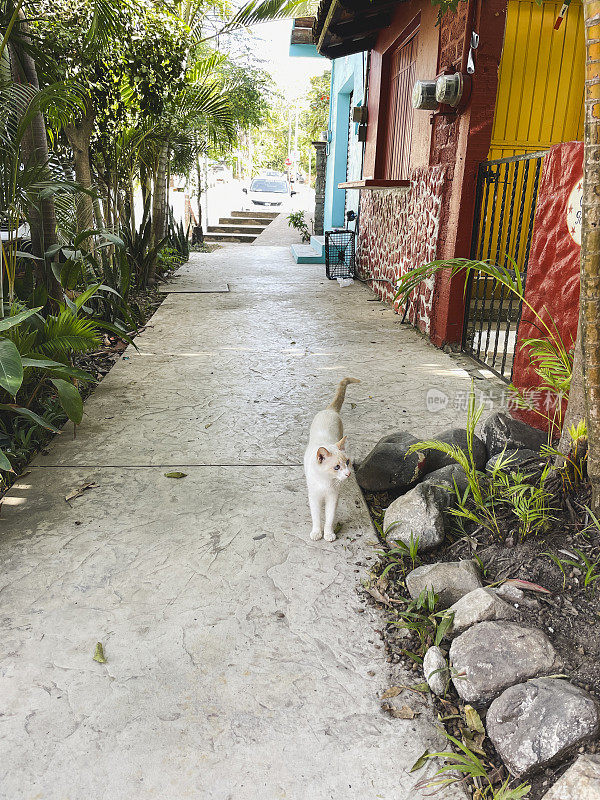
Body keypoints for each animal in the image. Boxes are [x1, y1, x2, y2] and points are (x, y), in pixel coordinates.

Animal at [304, 376, 360, 540]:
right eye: (336, 467)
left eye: (347, 462)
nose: (348, 473)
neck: (326, 482)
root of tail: (329, 410)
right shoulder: (314, 497)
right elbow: (316, 517)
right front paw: (317, 533)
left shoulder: (333, 497)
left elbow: (329, 518)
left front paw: (328, 534)